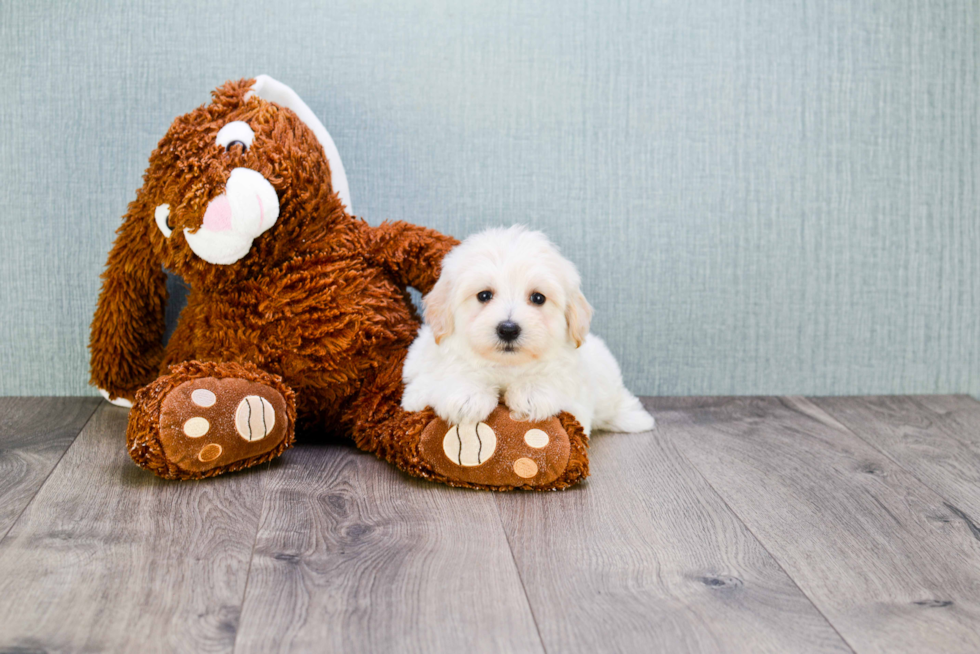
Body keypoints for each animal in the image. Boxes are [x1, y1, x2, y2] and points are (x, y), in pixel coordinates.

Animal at [402, 226, 656, 436]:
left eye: (538, 298)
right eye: (484, 295)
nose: (508, 329)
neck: (506, 367)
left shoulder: (576, 398)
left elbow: (554, 380)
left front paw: (531, 392)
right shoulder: (417, 389)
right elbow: (450, 375)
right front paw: (468, 394)